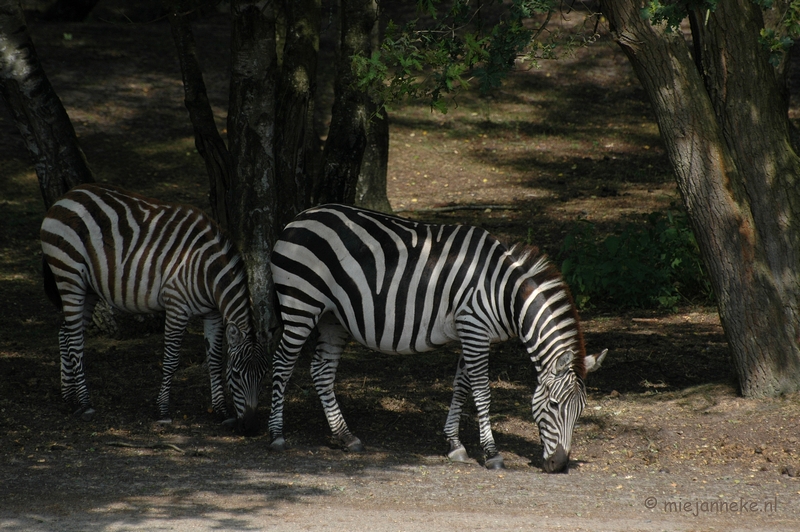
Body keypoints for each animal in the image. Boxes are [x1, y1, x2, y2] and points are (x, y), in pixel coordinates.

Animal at [41, 183, 266, 432]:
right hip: (68, 274)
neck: (206, 269)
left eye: (263, 376)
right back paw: (85, 403)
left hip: (87, 287)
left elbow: (215, 361)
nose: (251, 428)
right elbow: (171, 360)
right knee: (75, 340)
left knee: (66, 333)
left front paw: (221, 411)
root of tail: (68, 195)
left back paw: (70, 398)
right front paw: (163, 410)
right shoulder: (177, 306)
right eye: (236, 374)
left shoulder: (213, 313)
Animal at [268, 205, 608, 474]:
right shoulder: (474, 328)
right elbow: (482, 392)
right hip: (300, 304)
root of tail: (300, 217)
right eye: (553, 405)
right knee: (282, 364)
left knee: (321, 371)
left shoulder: (473, 333)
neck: (503, 292)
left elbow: (461, 387)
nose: (559, 466)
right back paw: (276, 435)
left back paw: (345, 436)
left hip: (332, 318)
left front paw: (454, 444)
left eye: (581, 411)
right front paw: (492, 453)